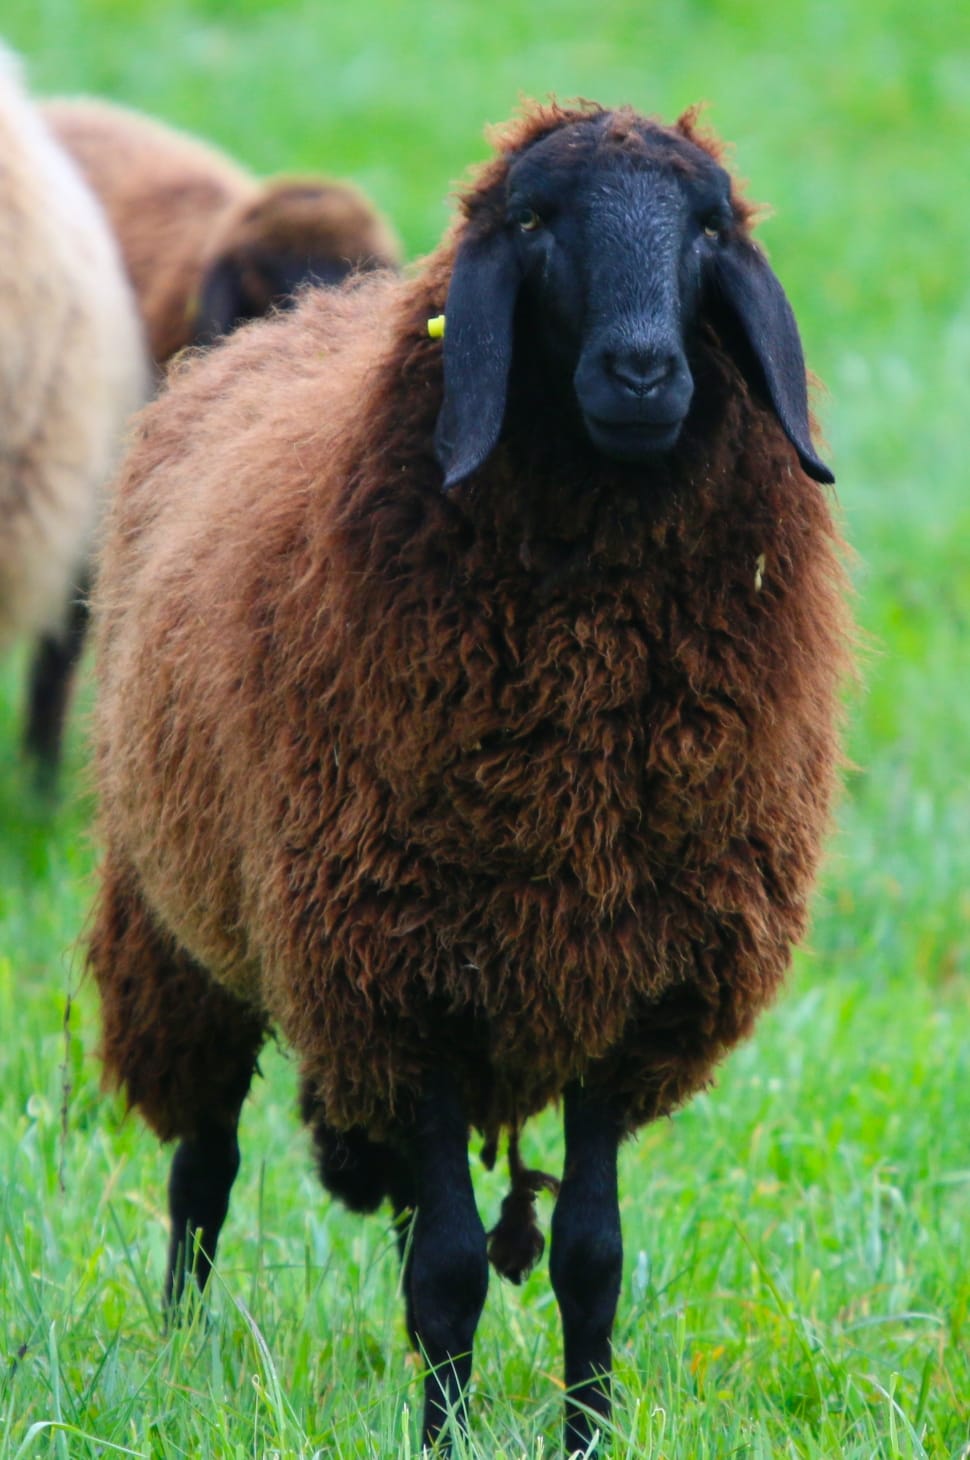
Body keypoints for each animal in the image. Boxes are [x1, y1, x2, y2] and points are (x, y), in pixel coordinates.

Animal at [87, 100, 851, 1451]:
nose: (644, 373)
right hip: (179, 929)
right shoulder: (400, 976)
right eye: (534, 221)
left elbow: (588, 1258)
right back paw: (179, 1346)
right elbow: (445, 1270)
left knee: (393, 1197)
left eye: (710, 226)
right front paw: (440, 1431)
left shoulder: (621, 981)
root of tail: (304, 310)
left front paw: (582, 1426)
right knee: (203, 1164)